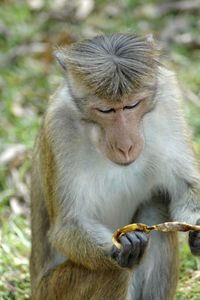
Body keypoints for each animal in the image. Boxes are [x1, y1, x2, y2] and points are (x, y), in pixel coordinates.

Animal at [30, 34, 200, 298]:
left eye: (132, 105)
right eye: (106, 110)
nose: (125, 146)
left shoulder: (168, 101)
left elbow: (185, 186)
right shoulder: (59, 124)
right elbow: (68, 226)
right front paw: (121, 249)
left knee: (156, 205)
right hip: (53, 290)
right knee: (116, 271)